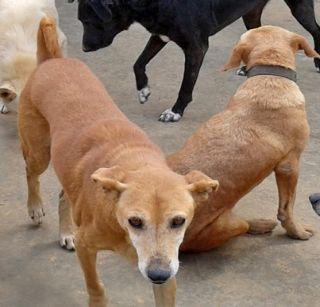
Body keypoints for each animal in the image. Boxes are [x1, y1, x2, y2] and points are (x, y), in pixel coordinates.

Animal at [17, 18, 218, 307]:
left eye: (178, 221)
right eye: (135, 221)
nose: (158, 274)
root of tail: (52, 60)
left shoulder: (169, 272)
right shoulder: (87, 246)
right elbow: (96, 287)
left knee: (64, 195)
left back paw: (66, 232)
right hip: (39, 153)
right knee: (30, 173)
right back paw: (34, 208)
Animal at [70, 0, 320, 122]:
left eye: (88, 21)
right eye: (81, 20)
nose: (84, 48)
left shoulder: (196, 48)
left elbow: (185, 87)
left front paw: (175, 112)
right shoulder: (159, 35)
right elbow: (138, 63)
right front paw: (143, 90)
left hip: (299, 7)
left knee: (316, 30)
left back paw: (318, 62)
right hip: (250, 12)